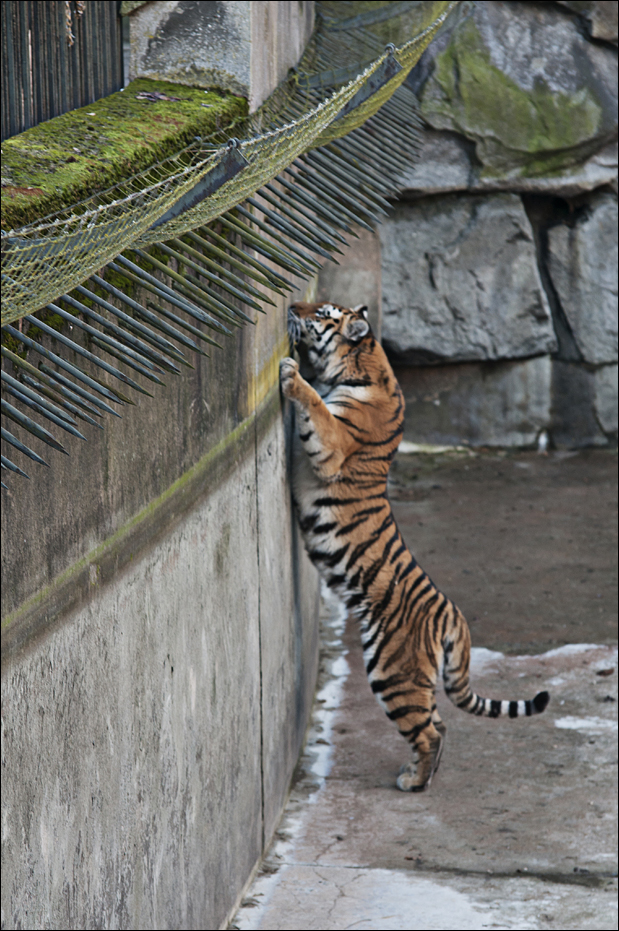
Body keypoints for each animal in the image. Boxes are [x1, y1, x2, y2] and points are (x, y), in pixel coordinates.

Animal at [280, 300, 549, 792]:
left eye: (322, 313)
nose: (292, 305)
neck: (362, 363)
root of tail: (453, 615)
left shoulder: (332, 444)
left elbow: (315, 408)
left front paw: (292, 374)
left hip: (392, 670)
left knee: (428, 730)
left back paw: (414, 782)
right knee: (439, 724)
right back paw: (418, 773)